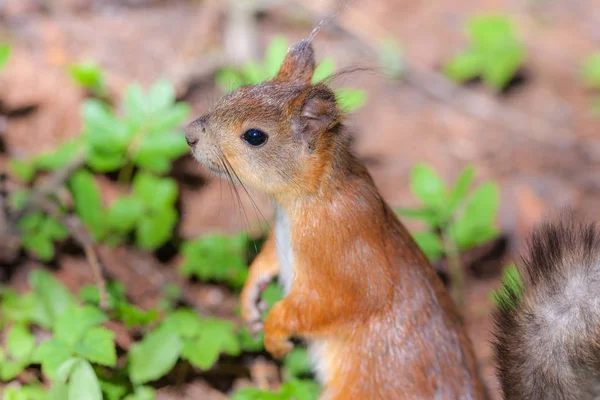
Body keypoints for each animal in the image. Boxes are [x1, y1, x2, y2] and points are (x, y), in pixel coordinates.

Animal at [186, 36, 488, 398]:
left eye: (255, 136)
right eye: (242, 89)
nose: (189, 135)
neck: (306, 200)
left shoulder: (342, 251)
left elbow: (340, 302)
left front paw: (275, 333)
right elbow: (268, 258)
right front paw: (250, 299)